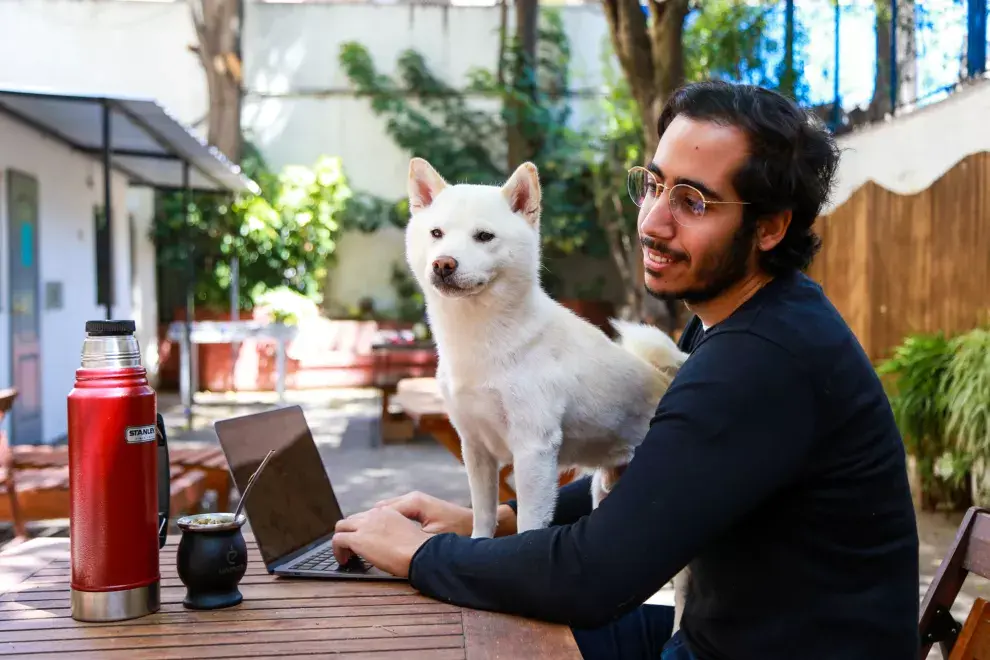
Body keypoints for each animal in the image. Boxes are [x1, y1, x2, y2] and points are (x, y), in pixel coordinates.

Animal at [406, 157, 692, 632]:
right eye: (436, 233)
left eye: (484, 237)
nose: (444, 264)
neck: (481, 343)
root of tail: (666, 378)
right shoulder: (476, 450)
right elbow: (484, 516)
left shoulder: (534, 450)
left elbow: (528, 533)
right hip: (604, 492)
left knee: (684, 597)